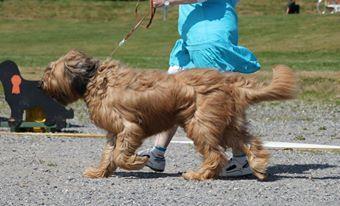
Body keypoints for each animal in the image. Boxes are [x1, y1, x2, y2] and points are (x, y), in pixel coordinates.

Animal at [40, 49, 298, 180]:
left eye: (50, 70)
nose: (41, 84)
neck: (94, 79)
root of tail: (230, 84)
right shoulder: (114, 132)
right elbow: (109, 154)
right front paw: (99, 171)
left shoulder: (130, 127)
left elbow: (121, 155)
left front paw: (137, 161)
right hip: (224, 124)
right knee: (250, 143)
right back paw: (259, 167)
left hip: (200, 124)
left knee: (216, 155)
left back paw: (198, 174)